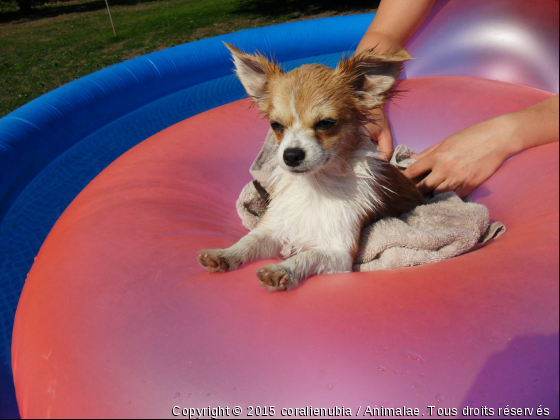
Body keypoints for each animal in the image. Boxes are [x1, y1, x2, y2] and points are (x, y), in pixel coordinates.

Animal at [199, 43, 422, 292]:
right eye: (276, 125)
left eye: (326, 123)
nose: (291, 155)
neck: (314, 185)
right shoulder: (274, 227)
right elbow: (250, 240)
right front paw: (225, 254)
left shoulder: (339, 253)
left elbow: (308, 255)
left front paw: (283, 269)